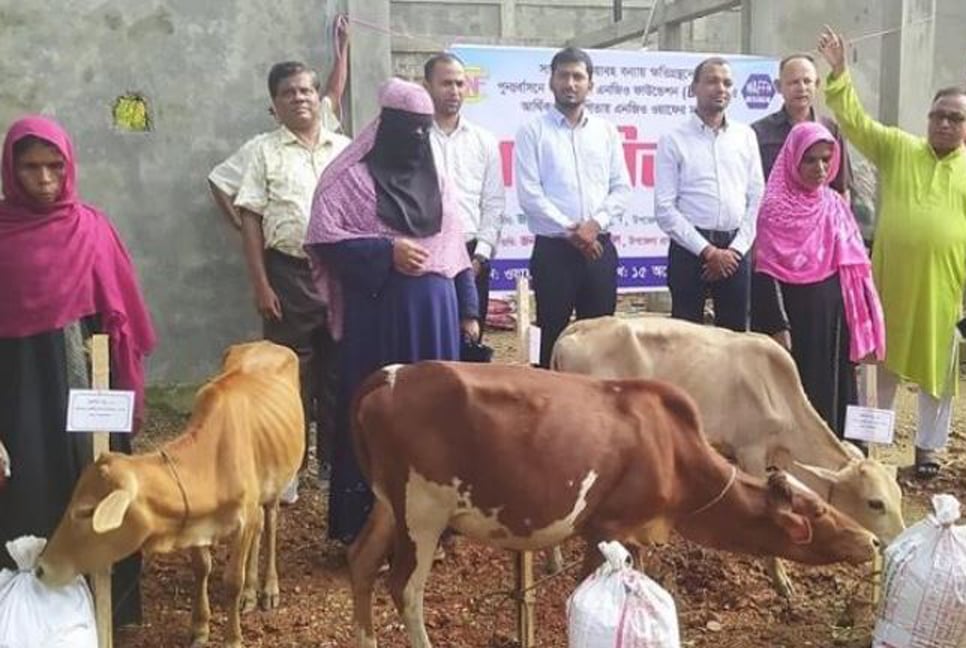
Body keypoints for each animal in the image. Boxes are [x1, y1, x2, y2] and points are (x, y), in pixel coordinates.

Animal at [37, 342, 304, 644]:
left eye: (86, 511)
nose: (41, 567)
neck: (211, 462)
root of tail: (269, 343)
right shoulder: (201, 523)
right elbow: (202, 567)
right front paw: (199, 628)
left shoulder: (243, 518)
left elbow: (232, 581)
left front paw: (233, 638)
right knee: (259, 530)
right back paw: (250, 593)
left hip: (276, 485)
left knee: (269, 525)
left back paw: (269, 589)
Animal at [350, 362, 884, 644]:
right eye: (817, 512)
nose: (872, 541)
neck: (674, 451)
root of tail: (389, 376)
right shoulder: (604, 527)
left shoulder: (635, 535)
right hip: (422, 514)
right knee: (404, 588)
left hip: (387, 505)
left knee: (363, 560)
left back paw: (366, 635)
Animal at [552, 316, 908, 596]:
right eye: (875, 503)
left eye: (899, 496)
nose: (896, 541)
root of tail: (573, 330)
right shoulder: (751, 451)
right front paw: (781, 580)